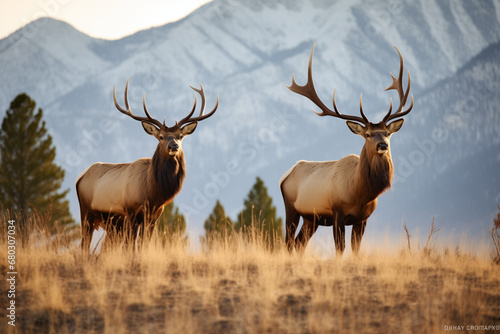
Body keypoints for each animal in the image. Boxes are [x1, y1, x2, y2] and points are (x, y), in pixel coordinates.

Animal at [76, 79, 219, 249]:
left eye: (180, 136)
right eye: (161, 137)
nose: (174, 146)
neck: (152, 194)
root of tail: (81, 176)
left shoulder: (153, 217)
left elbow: (144, 244)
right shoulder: (131, 212)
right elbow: (131, 246)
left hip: (111, 224)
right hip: (86, 212)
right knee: (84, 245)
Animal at [282, 45, 414, 256]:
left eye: (387, 133)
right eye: (367, 134)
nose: (382, 145)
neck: (359, 192)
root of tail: (287, 173)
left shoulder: (363, 218)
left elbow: (355, 249)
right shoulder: (338, 212)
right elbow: (340, 248)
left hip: (311, 218)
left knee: (300, 242)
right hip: (291, 208)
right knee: (288, 242)